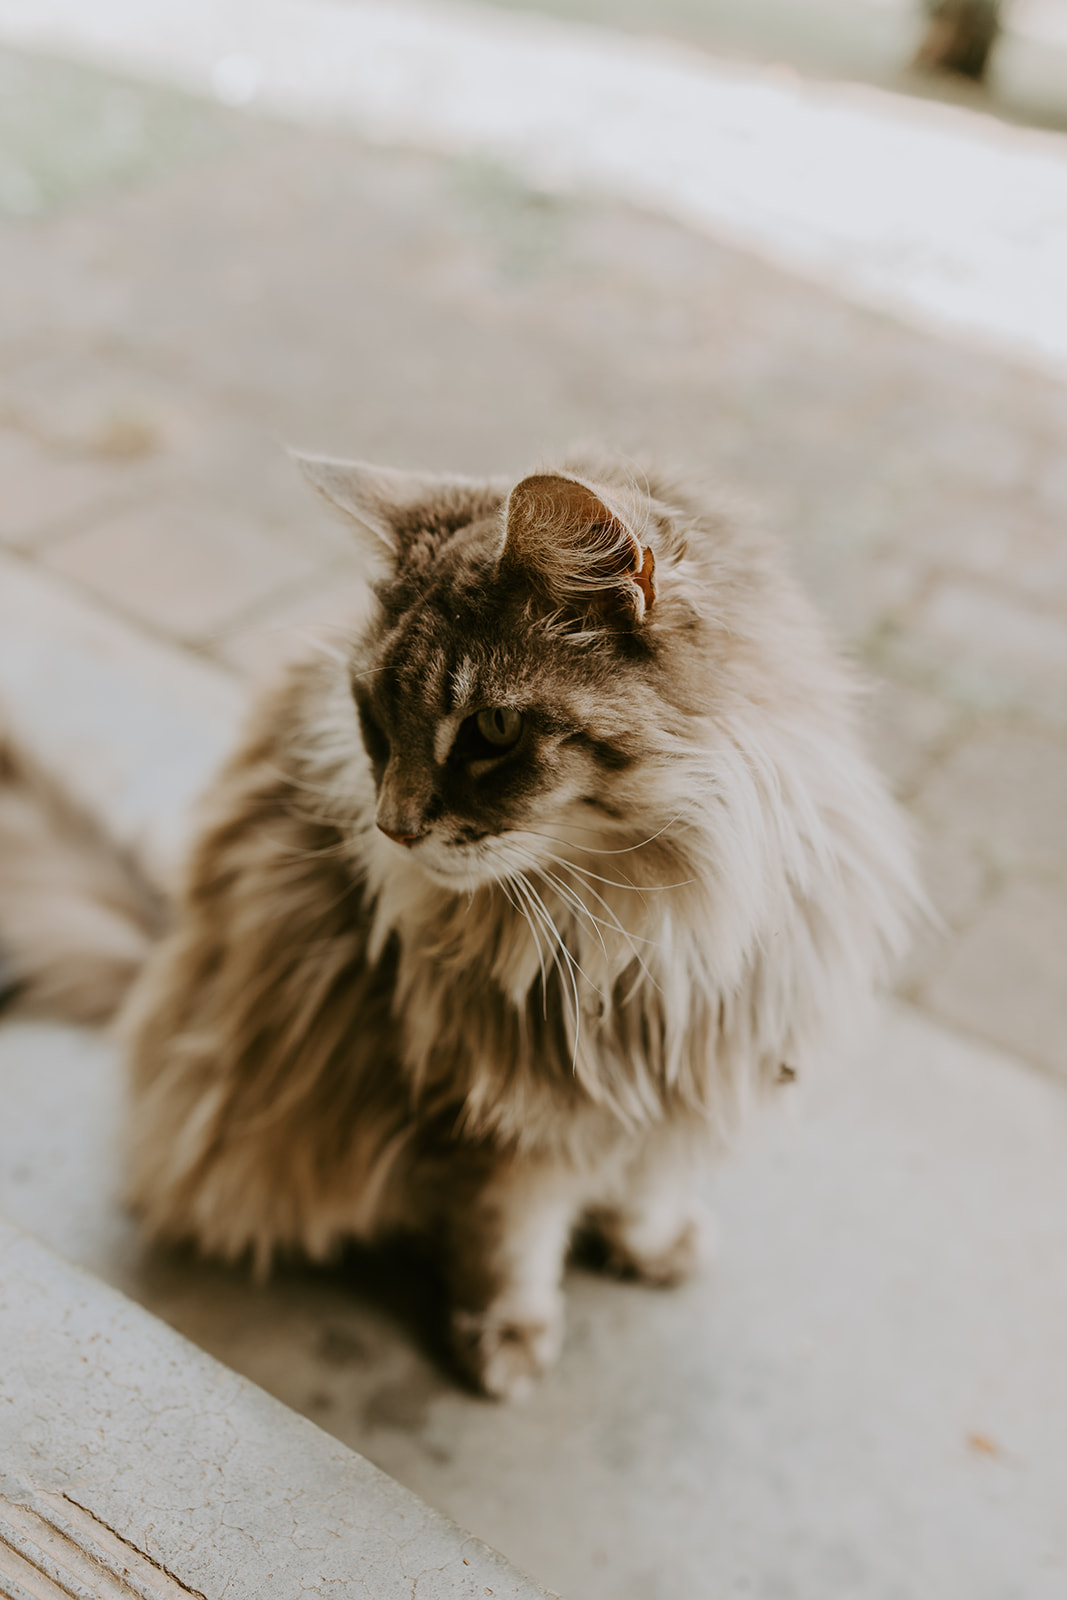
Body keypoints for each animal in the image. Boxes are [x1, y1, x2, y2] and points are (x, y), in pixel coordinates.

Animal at [0, 454, 921, 1401]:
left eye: (493, 730)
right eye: (371, 715)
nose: (392, 828)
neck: (655, 930)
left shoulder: (691, 1075)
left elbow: (647, 1183)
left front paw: (649, 1243)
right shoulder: (498, 1120)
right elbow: (511, 1240)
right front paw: (506, 1339)